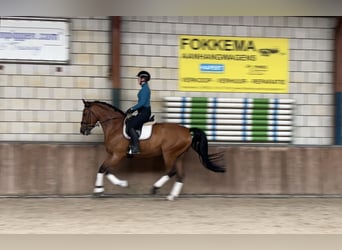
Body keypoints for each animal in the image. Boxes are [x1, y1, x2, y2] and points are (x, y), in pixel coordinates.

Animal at [79, 100, 224, 200]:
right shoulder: (114, 155)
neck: (115, 127)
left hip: (169, 154)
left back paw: (155, 188)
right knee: (180, 175)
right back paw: (171, 196)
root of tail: (187, 131)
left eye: (85, 113)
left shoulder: (118, 155)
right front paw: (116, 185)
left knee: (171, 171)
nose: (82, 131)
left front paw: (99, 190)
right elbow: (105, 170)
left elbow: (103, 169)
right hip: (178, 156)